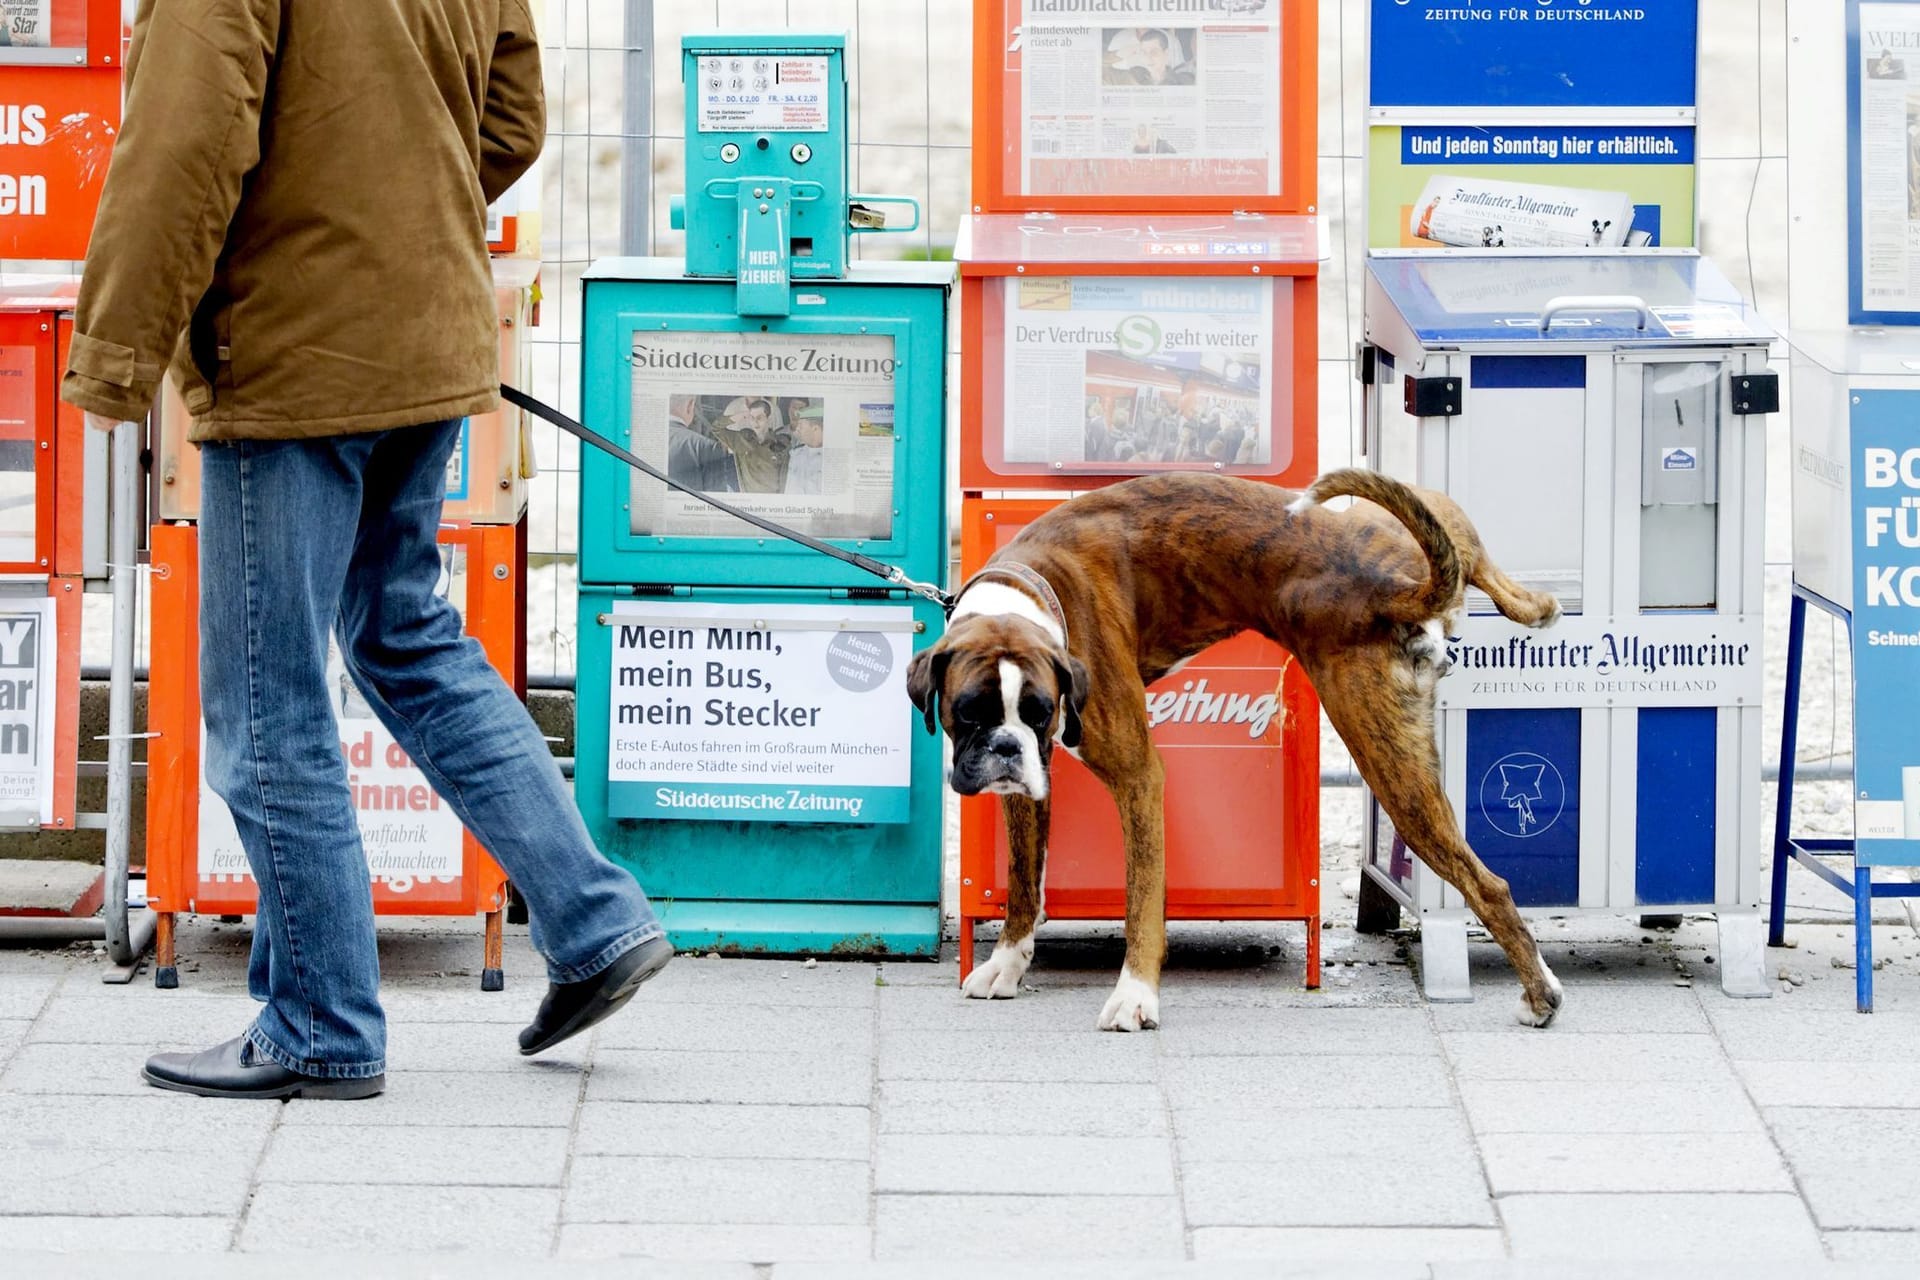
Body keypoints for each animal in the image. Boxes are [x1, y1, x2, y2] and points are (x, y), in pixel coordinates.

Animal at [910, 470, 1559, 1028]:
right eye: (967, 711)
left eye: (1041, 710)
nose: (1005, 747)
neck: (1033, 588)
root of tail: (1397, 590)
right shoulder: (1026, 789)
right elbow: (1023, 879)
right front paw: (1007, 963)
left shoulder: (1137, 777)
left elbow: (1141, 896)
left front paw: (1135, 995)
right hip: (1391, 537)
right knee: (1457, 536)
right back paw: (1538, 606)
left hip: (1391, 768)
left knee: (1488, 883)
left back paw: (1539, 994)